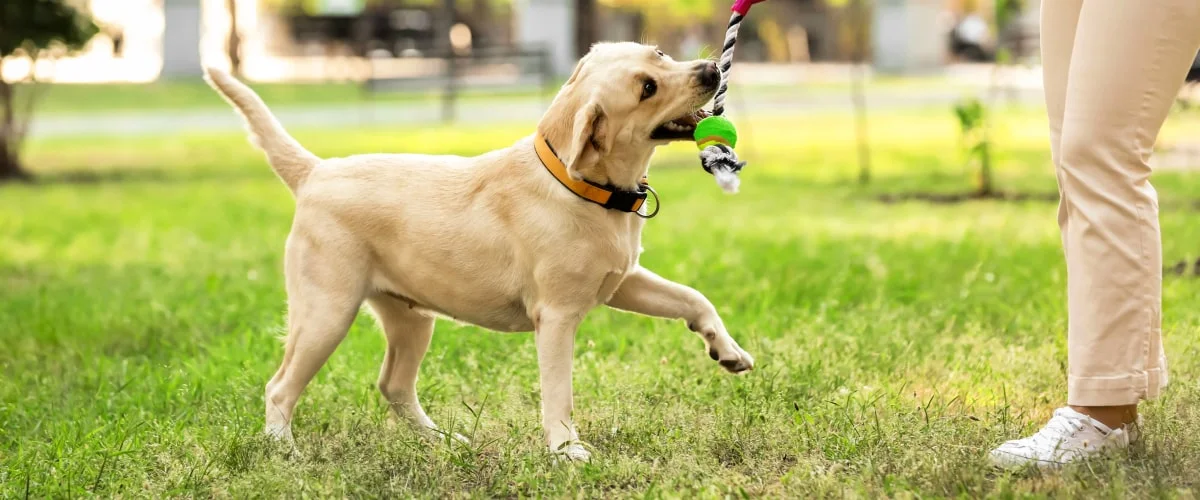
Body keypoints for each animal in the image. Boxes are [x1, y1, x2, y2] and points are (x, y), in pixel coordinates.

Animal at [202, 41, 753, 460]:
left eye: (658, 53)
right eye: (647, 88)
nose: (710, 69)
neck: (580, 185)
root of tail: (316, 171)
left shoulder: (623, 281)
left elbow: (693, 298)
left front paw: (728, 350)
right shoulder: (557, 317)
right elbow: (559, 392)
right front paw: (566, 450)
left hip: (411, 318)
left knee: (393, 385)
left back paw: (442, 441)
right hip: (326, 312)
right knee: (280, 386)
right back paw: (284, 449)